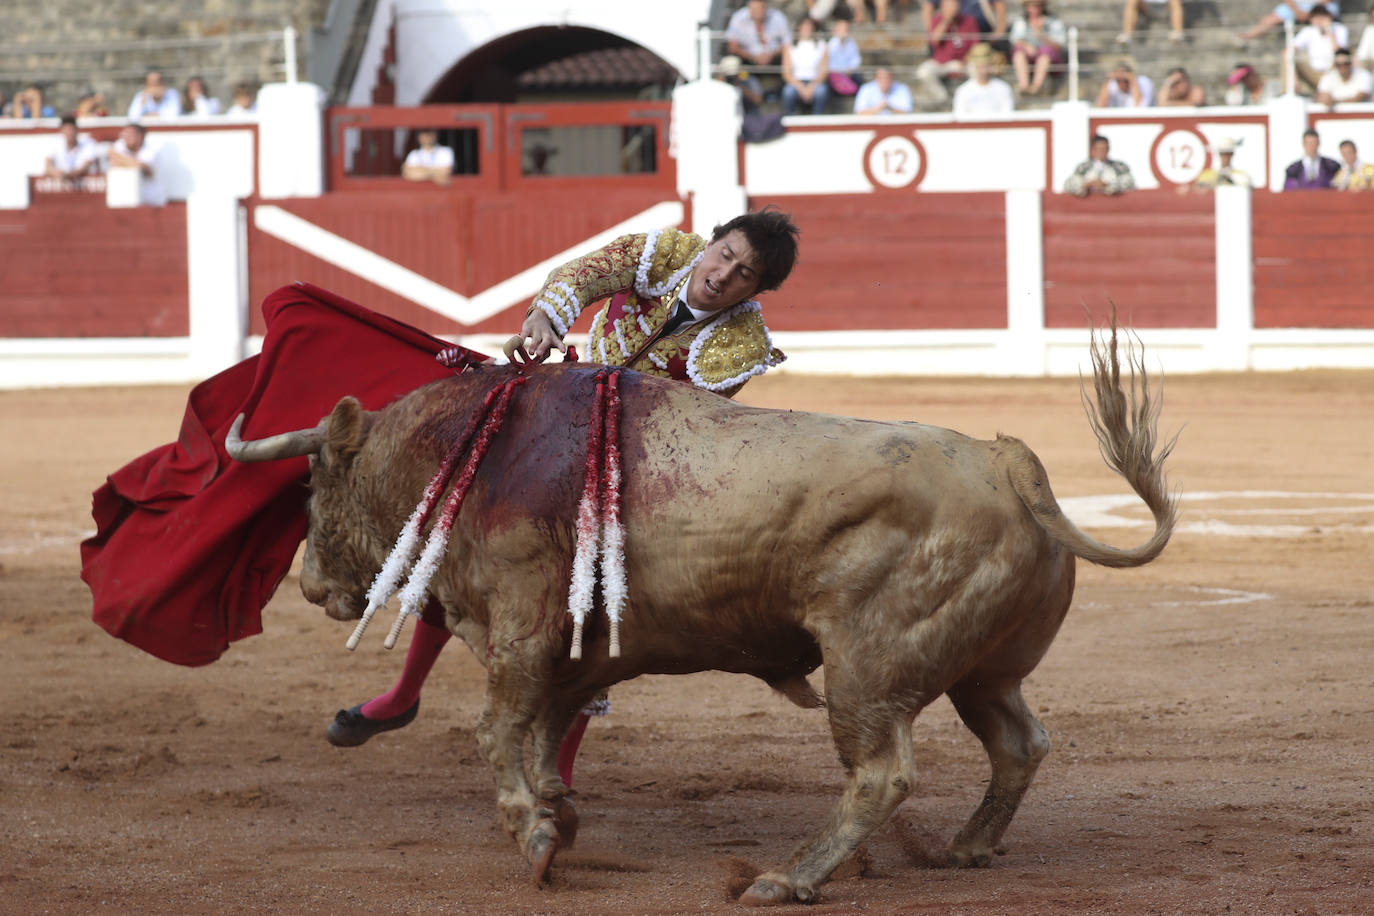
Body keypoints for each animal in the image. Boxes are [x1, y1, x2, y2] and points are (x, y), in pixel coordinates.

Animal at [228, 321, 1181, 900]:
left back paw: (787, 879)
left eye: (313, 479)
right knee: (1019, 743)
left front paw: (533, 838)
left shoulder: (523, 625)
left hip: (868, 667)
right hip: (984, 671)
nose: (310, 586)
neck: (472, 451)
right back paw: (966, 847)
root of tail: (1007, 460)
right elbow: (545, 731)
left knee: (882, 772)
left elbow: (500, 730)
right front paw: (559, 817)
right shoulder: (576, 655)